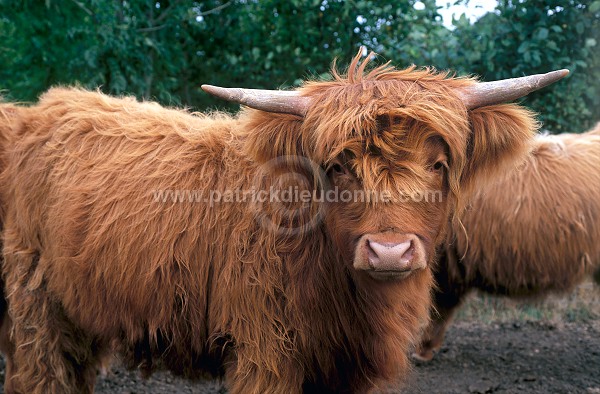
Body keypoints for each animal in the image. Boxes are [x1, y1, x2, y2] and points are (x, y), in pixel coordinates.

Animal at [0, 53, 564, 392]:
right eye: (337, 166)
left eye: (439, 164)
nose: (389, 251)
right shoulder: (266, 352)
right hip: (35, 306)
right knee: (39, 373)